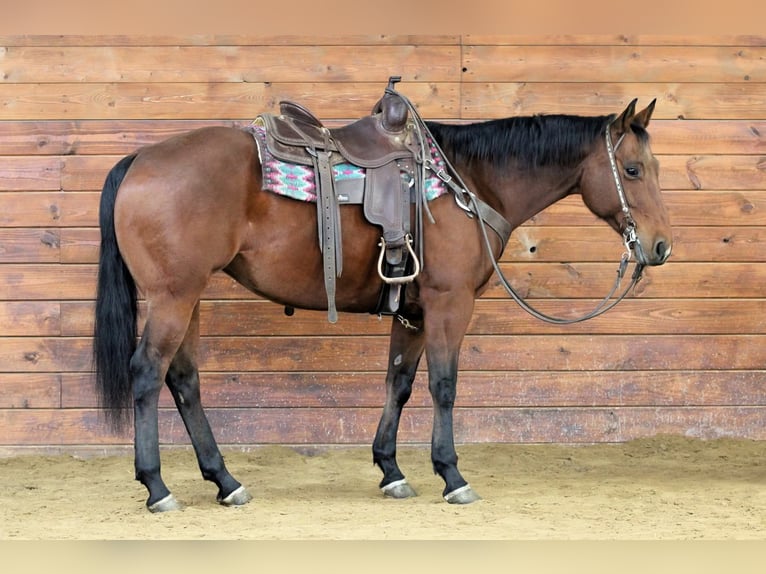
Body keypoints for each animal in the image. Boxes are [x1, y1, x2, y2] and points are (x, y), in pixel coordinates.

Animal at [93, 86, 672, 512]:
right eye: (633, 170)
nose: (660, 246)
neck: (469, 181)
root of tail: (140, 159)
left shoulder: (413, 313)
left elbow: (400, 383)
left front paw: (391, 470)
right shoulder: (448, 303)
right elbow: (443, 386)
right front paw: (452, 474)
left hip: (188, 297)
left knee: (184, 380)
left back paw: (225, 481)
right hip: (173, 297)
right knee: (147, 373)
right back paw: (157, 487)